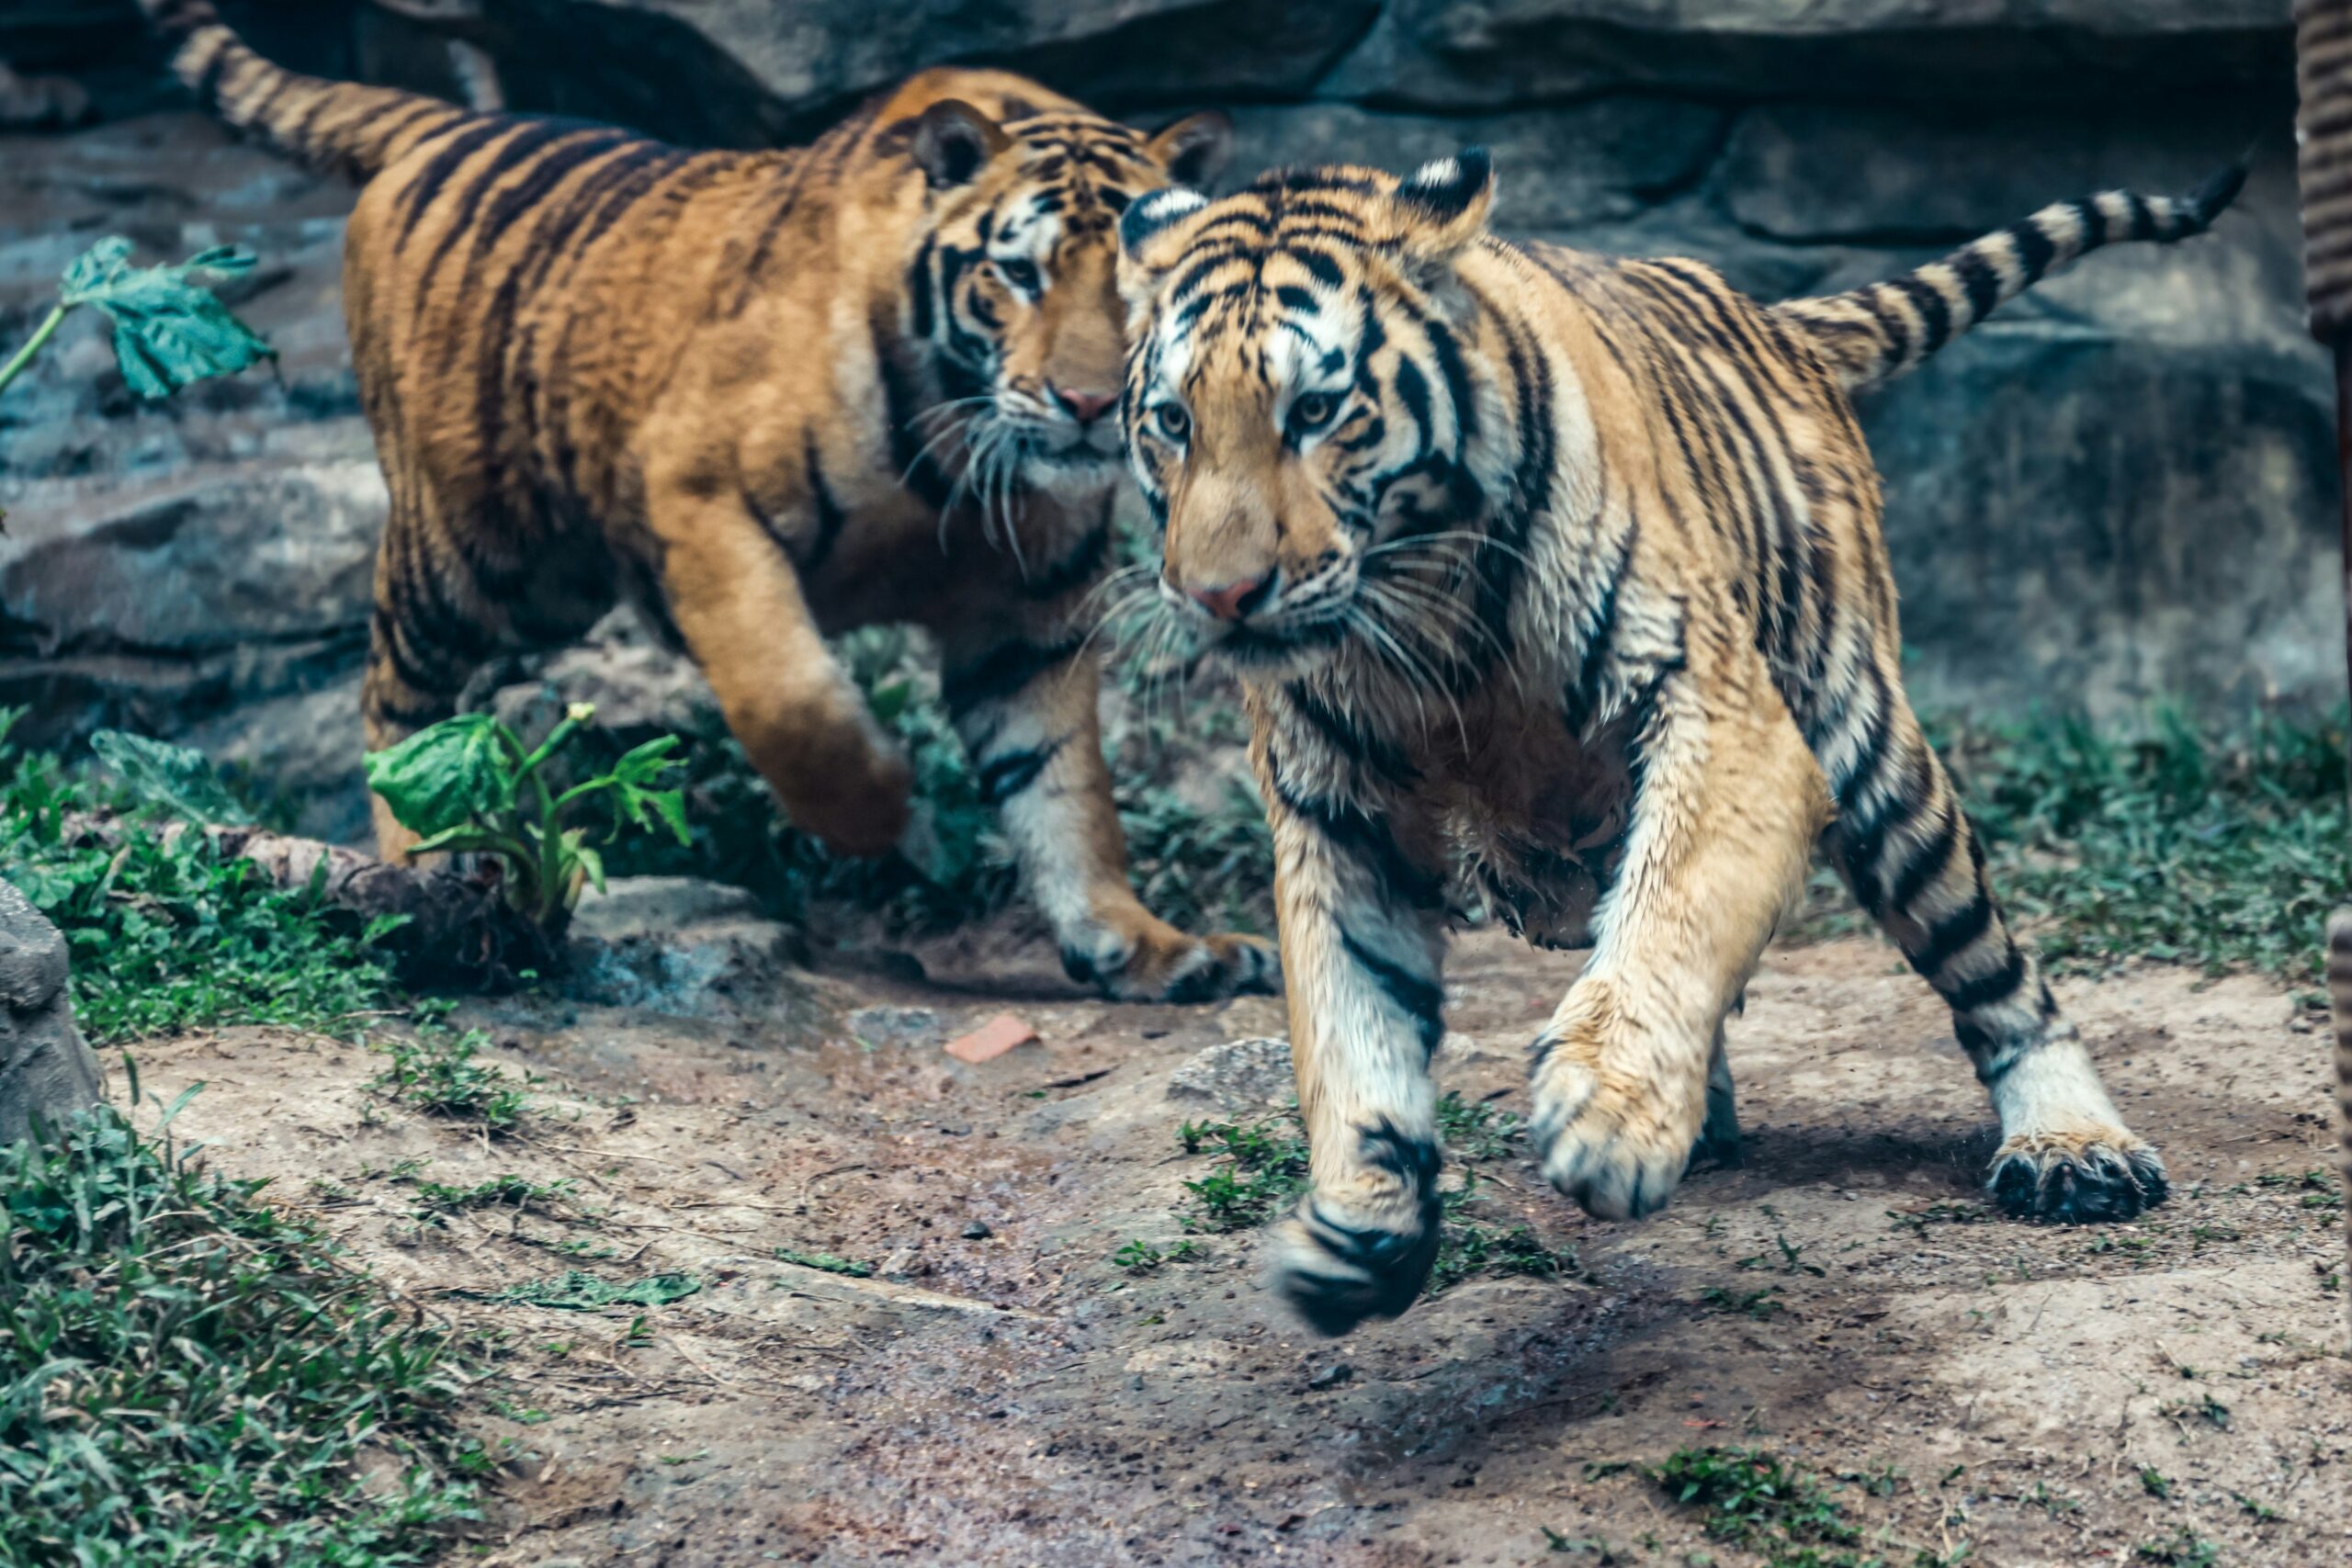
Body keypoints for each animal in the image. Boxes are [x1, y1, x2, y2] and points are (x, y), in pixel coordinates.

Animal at [134, 1, 1275, 1003]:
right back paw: (424, 866)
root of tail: (445, 122)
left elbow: (1065, 789)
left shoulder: (1028, 612)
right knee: (393, 699)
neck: (956, 464)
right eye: (1019, 276)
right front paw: (889, 819)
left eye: (1138, 290)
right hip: (473, 554)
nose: (1089, 405)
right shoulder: (699, 499)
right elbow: (796, 701)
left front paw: (1142, 947)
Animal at [1113, 150, 2243, 1332]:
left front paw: (1608, 1117)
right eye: (1173, 422)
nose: (1220, 597)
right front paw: (1361, 1225)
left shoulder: (1723, 710)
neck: (1419, 613)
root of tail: (1778, 317)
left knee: (1998, 977)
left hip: (1872, 754)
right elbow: (1352, 1024)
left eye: (1317, 410)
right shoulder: (1337, 818)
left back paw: (2072, 1147)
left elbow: (1673, 914)